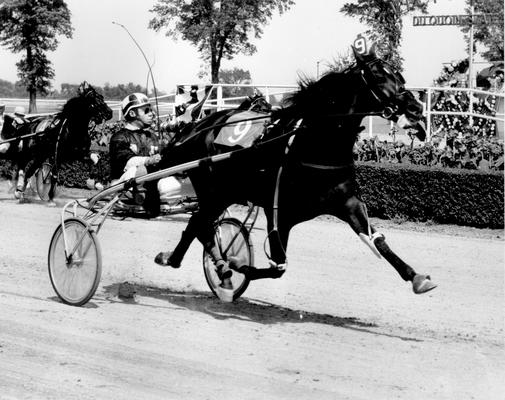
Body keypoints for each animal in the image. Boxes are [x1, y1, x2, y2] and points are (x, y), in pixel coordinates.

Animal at [156, 43, 436, 300]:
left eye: (400, 77)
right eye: (378, 77)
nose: (415, 108)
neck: (313, 144)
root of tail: (196, 125)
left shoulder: (347, 202)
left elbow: (377, 239)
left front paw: (416, 277)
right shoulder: (278, 211)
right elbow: (278, 266)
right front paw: (235, 263)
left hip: (223, 193)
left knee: (197, 223)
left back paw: (176, 259)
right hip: (213, 191)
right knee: (201, 225)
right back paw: (220, 271)